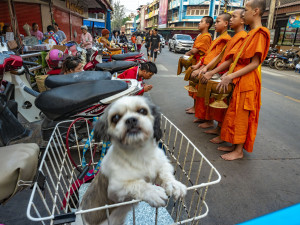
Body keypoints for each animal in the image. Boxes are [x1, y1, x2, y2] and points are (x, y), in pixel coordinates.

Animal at [79, 95, 188, 225]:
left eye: (142, 111)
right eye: (115, 117)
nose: (131, 120)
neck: (139, 153)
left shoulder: (162, 162)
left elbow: (164, 173)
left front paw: (174, 184)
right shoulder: (115, 189)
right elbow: (138, 184)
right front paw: (153, 192)